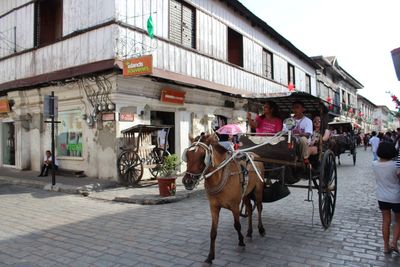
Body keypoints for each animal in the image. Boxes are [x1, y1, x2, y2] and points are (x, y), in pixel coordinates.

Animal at [184, 135, 266, 264]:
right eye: (187, 154)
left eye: (203, 156)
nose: (187, 181)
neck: (219, 177)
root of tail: (255, 154)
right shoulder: (214, 207)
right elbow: (213, 232)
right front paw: (210, 256)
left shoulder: (235, 206)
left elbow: (237, 225)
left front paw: (241, 242)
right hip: (246, 193)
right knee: (248, 208)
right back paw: (249, 232)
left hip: (258, 190)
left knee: (258, 207)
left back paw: (261, 229)